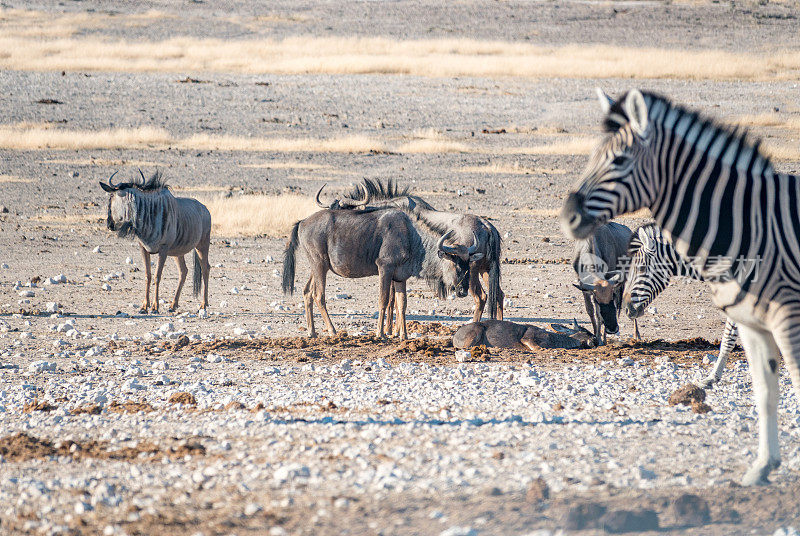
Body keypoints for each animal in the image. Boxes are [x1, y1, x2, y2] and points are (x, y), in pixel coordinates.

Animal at [100, 171, 211, 314]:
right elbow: (148, 276)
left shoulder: (163, 249)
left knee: (205, 268)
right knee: (183, 271)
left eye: (111, 197)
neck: (148, 215)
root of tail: (205, 209)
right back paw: (173, 305)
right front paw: (144, 306)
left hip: (202, 245)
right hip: (178, 252)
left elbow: (157, 276)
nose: (109, 224)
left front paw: (155, 307)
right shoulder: (143, 248)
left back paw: (203, 304)